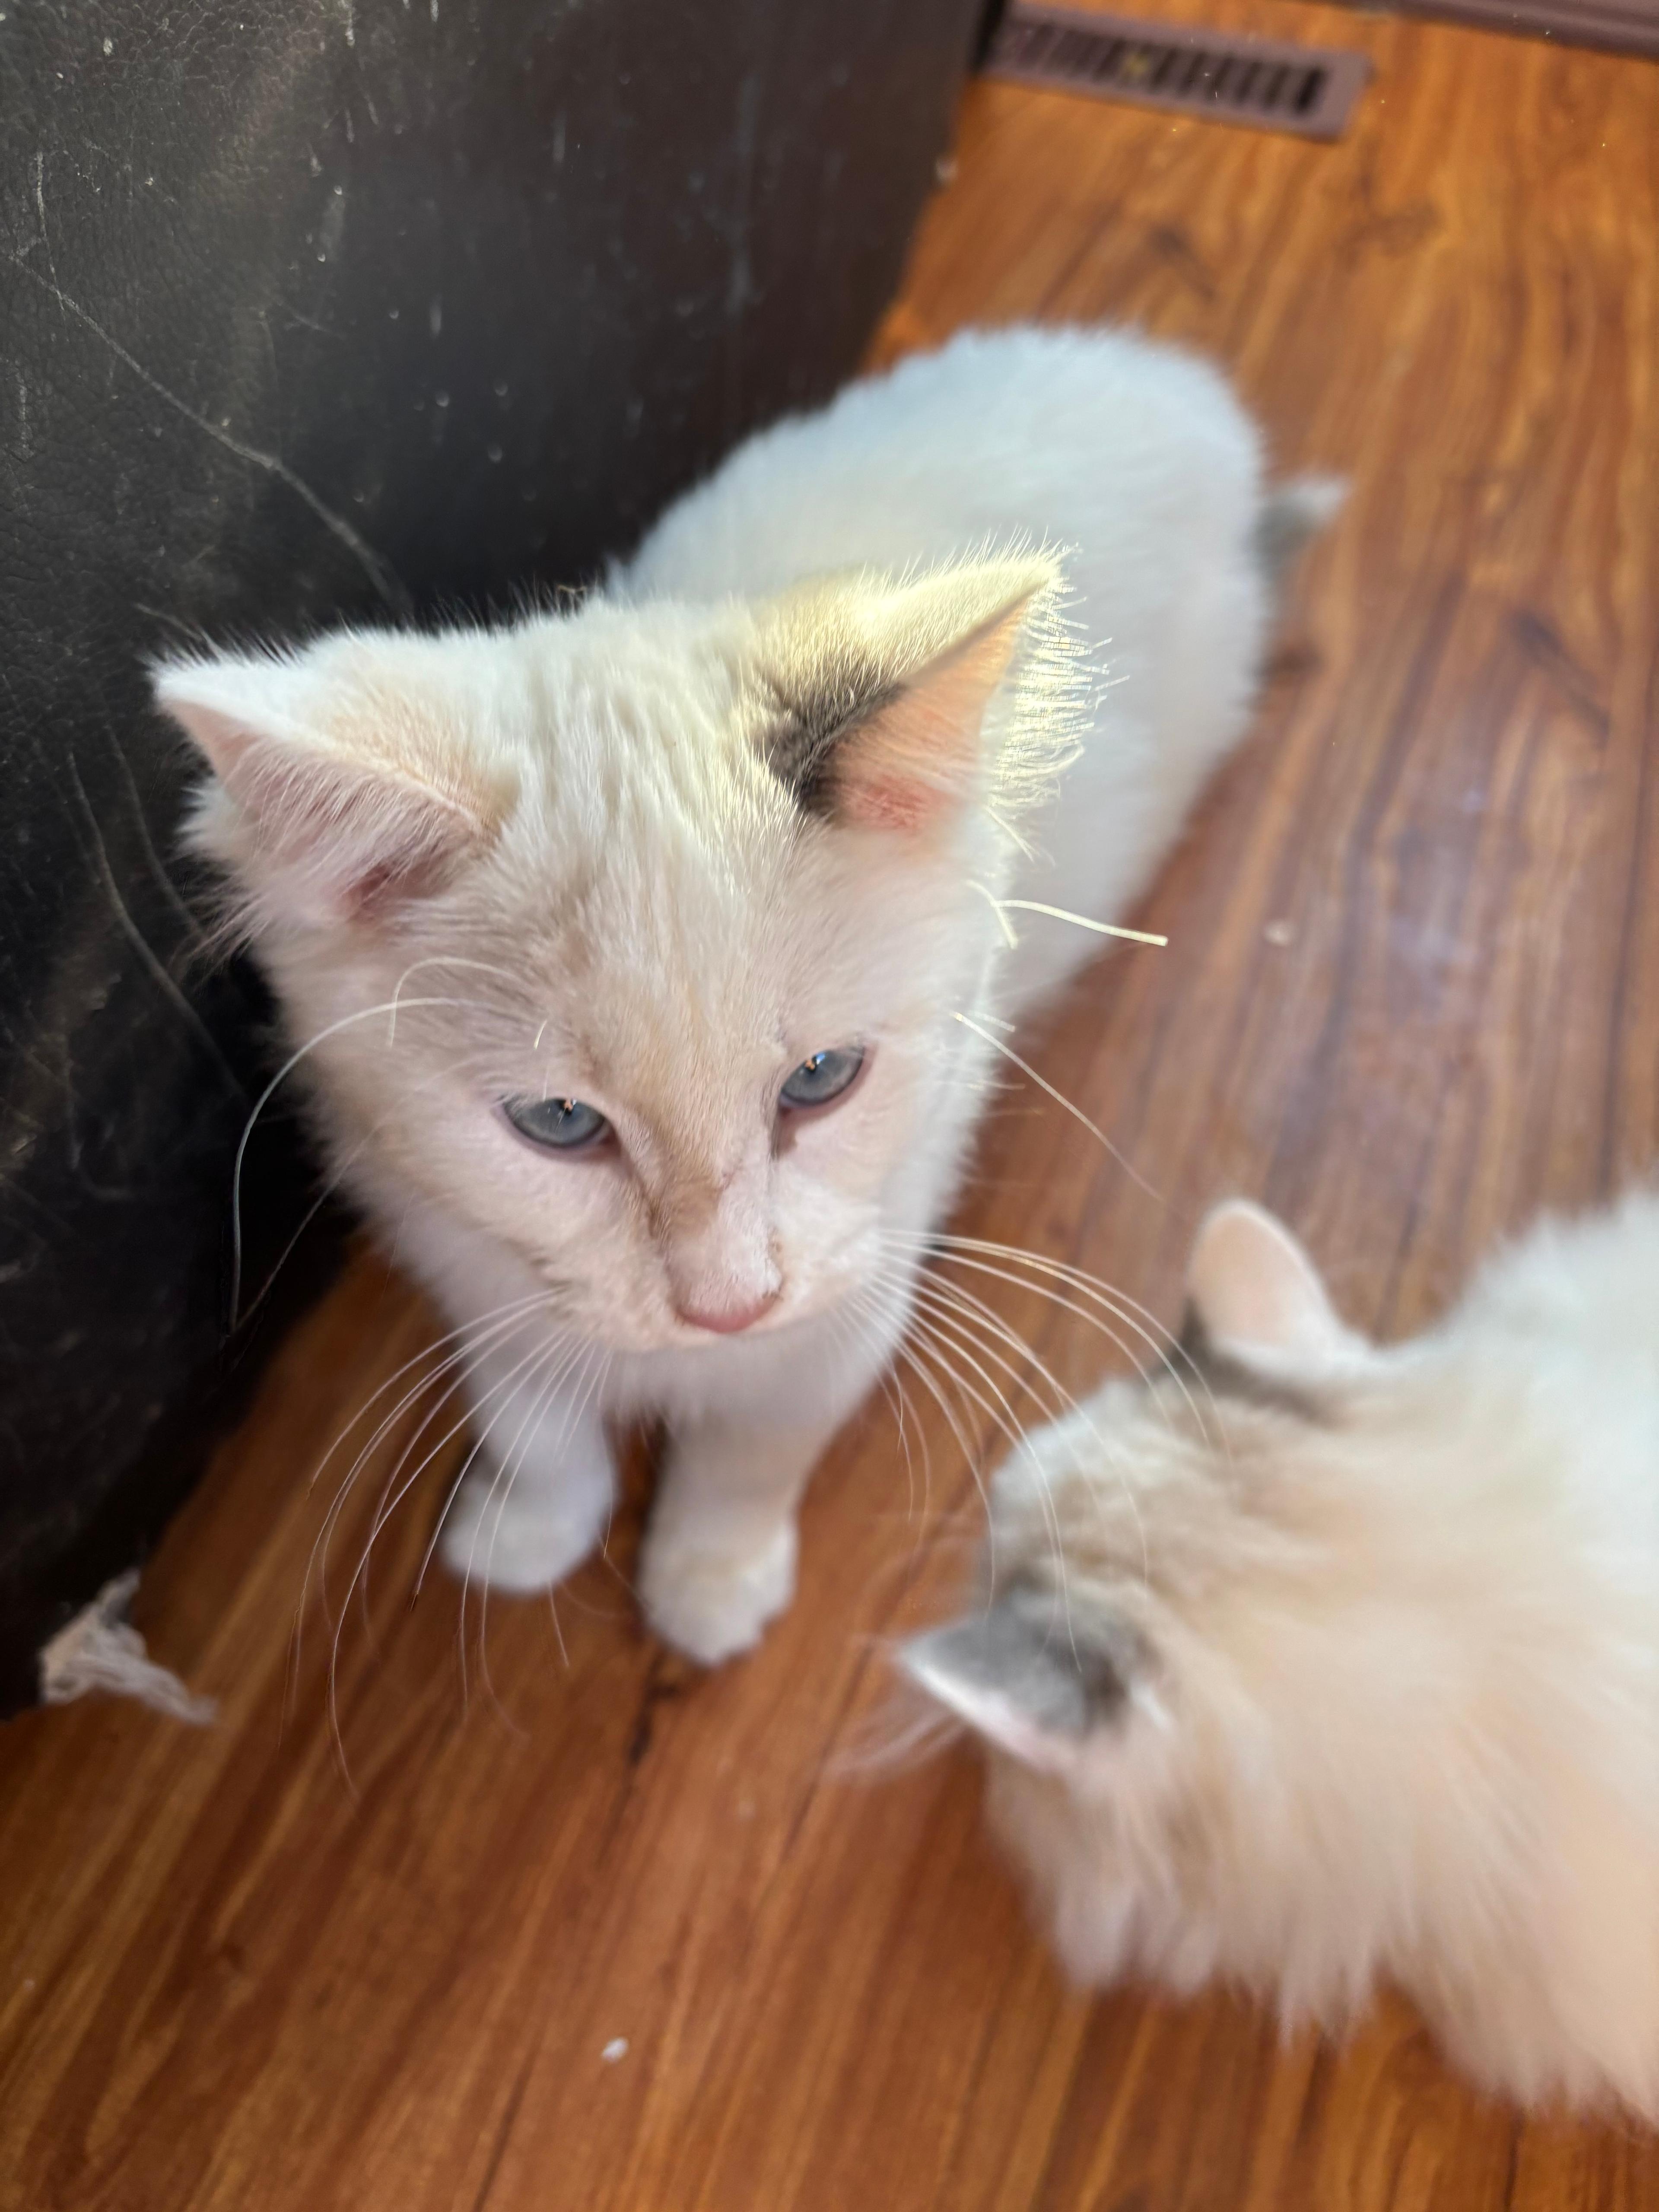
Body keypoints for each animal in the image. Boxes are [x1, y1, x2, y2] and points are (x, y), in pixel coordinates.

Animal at [149, 323, 1336, 1663]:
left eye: (820, 1081)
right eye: (558, 1123)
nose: (727, 1308)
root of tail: (1175, 389)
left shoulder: (855, 1282)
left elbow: (753, 1454)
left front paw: (707, 1582)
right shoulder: (472, 1258)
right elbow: (533, 1420)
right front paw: (529, 1529)